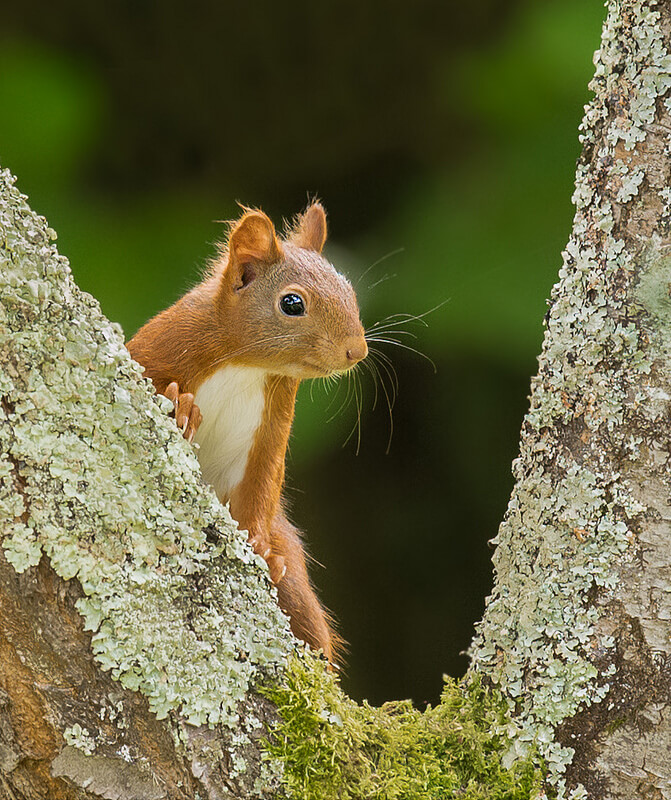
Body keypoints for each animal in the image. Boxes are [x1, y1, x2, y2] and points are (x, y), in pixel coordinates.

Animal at [126, 202, 368, 663]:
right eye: (292, 303)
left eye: (350, 289)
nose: (357, 351)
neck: (245, 362)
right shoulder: (160, 346)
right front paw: (181, 407)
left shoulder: (273, 421)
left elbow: (261, 479)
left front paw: (258, 548)